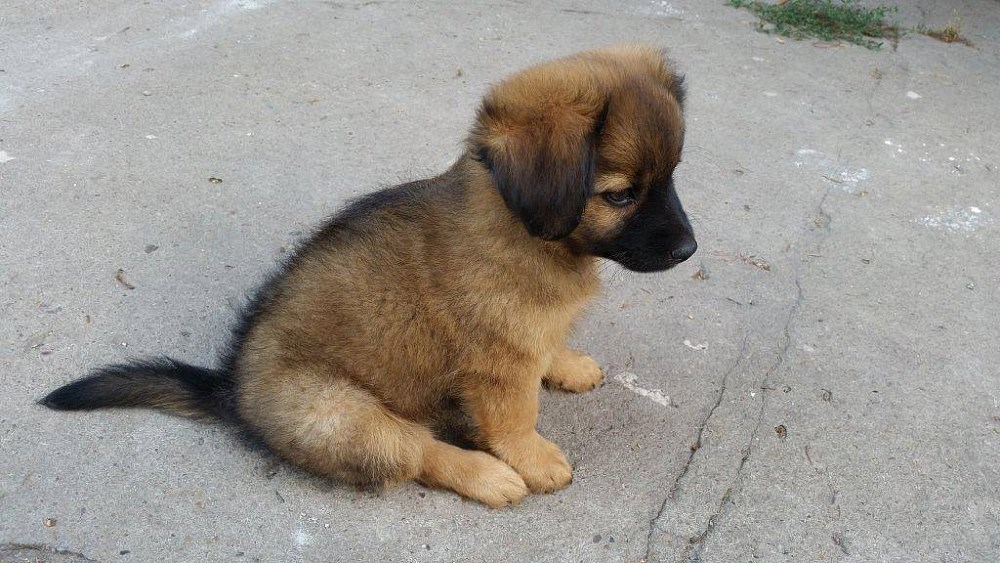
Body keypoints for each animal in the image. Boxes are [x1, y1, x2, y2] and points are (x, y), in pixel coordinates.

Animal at [41, 45, 696, 507]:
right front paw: (532, 461)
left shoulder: (527, 337)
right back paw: (487, 476)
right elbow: (515, 418)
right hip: (345, 415)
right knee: (416, 451)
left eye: (671, 176)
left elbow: (549, 346)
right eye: (621, 195)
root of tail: (231, 390)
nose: (690, 250)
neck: (525, 231)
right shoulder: (498, 368)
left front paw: (567, 365)